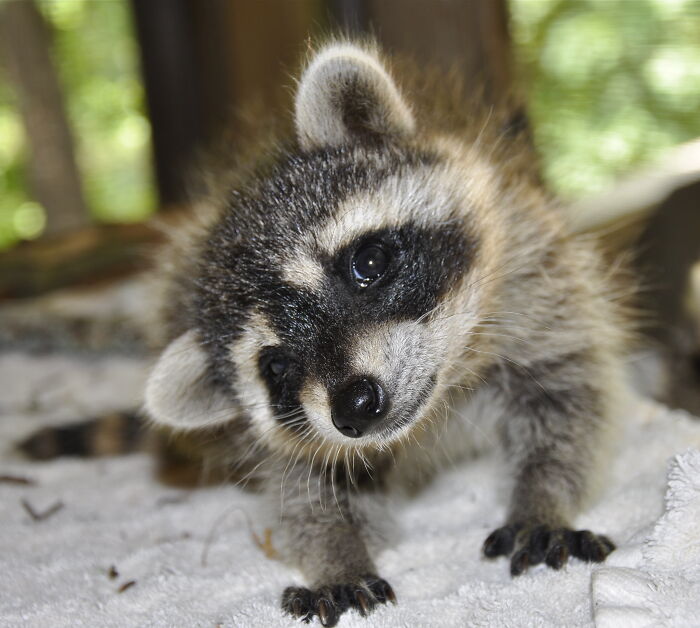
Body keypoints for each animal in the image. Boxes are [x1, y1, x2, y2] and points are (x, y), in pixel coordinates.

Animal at [25, 42, 626, 626]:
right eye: (277, 367)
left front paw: (541, 497)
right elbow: (306, 489)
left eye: (369, 262)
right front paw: (336, 556)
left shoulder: (535, 278)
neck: (435, 409)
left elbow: (568, 402)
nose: (354, 406)